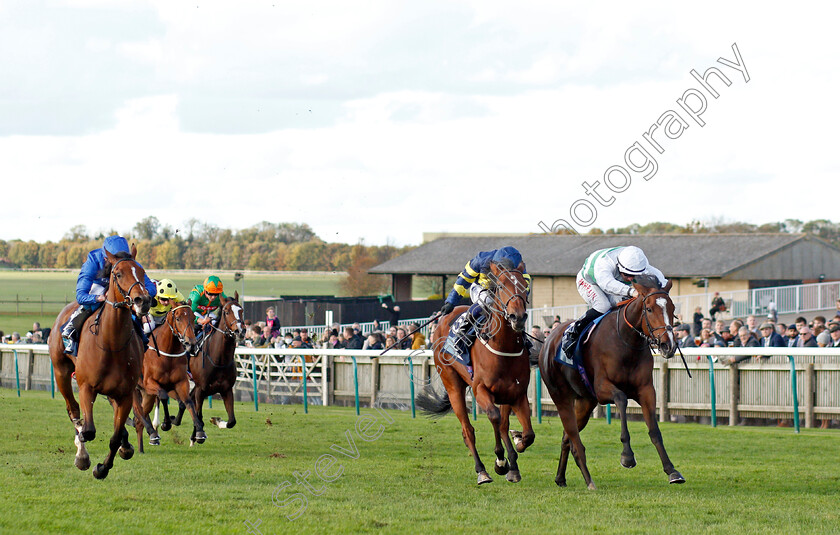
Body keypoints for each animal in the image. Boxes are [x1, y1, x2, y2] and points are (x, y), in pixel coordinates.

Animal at [48, 247, 153, 482]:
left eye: (142, 272)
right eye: (118, 274)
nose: (142, 300)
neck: (111, 343)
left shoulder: (125, 393)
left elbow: (115, 436)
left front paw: (103, 467)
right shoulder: (87, 387)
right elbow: (88, 430)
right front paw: (84, 457)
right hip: (61, 372)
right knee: (73, 410)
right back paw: (81, 452)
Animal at [135, 304, 200, 454]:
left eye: (193, 317)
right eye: (178, 318)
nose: (192, 344)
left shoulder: (181, 383)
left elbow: (187, 402)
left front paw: (200, 432)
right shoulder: (150, 383)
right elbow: (163, 396)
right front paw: (166, 423)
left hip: (147, 394)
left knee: (139, 420)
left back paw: (142, 446)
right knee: (137, 413)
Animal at [171, 296, 244, 446]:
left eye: (241, 310)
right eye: (227, 312)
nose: (240, 331)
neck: (219, 360)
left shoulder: (226, 390)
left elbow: (231, 421)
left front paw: (216, 421)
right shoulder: (201, 389)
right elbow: (199, 415)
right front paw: (199, 435)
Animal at [416, 260, 536, 486]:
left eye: (525, 286)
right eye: (501, 286)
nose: (518, 317)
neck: (503, 348)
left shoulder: (516, 394)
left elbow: (526, 433)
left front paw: (515, 452)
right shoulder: (480, 389)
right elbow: (495, 418)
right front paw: (500, 461)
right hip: (452, 384)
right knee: (468, 430)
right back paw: (482, 471)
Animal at [540, 278, 684, 492]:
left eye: (672, 308)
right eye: (649, 309)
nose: (669, 345)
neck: (626, 341)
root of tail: (547, 339)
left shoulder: (646, 390)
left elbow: (655, 431)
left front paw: (672, 471)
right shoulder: (602, 389)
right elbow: (622, 399)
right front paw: (627, 456)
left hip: (584, 403)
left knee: (567, 438)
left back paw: (560, 477)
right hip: (561, 396)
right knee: (573, 437)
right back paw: (587, 479)